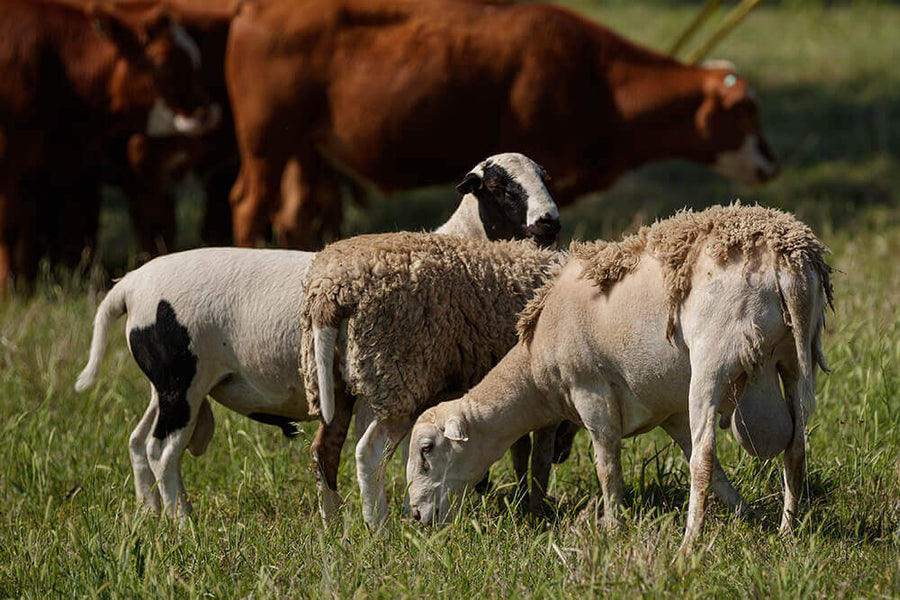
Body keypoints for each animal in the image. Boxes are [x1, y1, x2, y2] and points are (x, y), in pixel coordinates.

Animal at [0, 0, 221, 288]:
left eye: (195, 61)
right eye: (163, 63)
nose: (208, 113)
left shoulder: (32, 167)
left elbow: (24, 232)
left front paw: (23, 287)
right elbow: (9, 228)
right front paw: (8, 287)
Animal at [225, 0, 779, 249]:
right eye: (745, 110)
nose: (771, 167)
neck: (597, 77)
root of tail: (255, 8)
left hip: (303, 149)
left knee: (293, 213)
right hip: (267, 141)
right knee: (249, 205)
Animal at [300, 232, 568, 526]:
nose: (563, 455)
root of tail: (329, 288)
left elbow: (520, 450)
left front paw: (522, 503)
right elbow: (539, 458)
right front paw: (538, 512)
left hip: (339, 378)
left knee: (324, 449)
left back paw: (333, 524)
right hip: (396, 375)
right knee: (369, 452)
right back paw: (378, 527)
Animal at [405, 204, 833, 554]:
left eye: (427, 449)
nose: (415, 517)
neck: (536, 373)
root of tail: (789, 259)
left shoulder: (591, 391)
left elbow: (606, 464)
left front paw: (613, 525)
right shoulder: (670, 413)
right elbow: (716, 473)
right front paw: (747, 516)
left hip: (712, 358)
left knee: (705, 458)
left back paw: (689, 543)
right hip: (792, 361)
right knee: (795, 448)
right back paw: (787, 531)